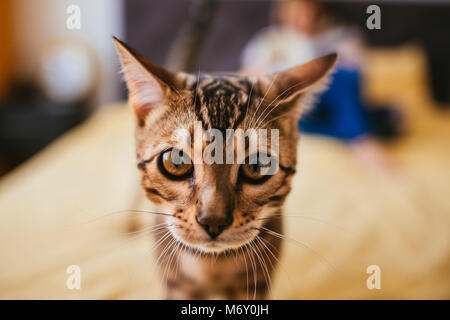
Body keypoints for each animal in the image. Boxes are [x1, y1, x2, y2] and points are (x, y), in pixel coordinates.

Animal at [113, 37, 338, 300]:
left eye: (256, 166)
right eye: (175, 162)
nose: (213, 222)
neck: (213, 267)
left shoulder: (255, 285)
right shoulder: (178, 285)